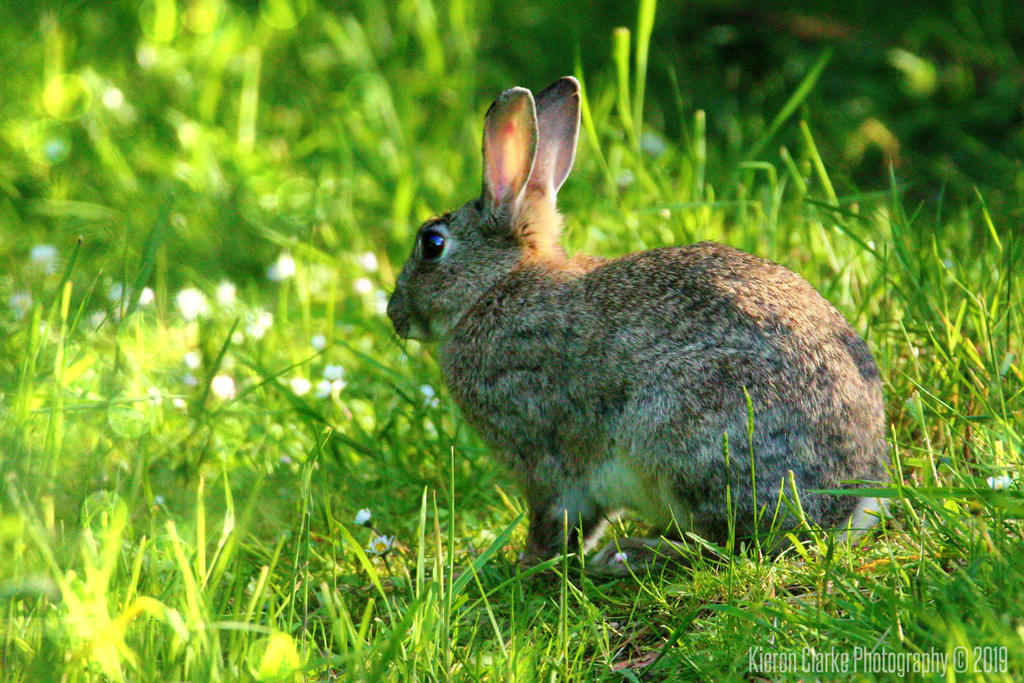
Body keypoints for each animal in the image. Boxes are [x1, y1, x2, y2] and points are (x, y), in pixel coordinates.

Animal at [387, 76, 888, 576]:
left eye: (432, 245)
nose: (395, 315)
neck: (495, 286)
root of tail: (846, 507)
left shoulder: (542, 457)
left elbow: (552, 520)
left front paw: (519, 565)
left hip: (687, 431)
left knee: (734, 545)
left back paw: (631, 555)